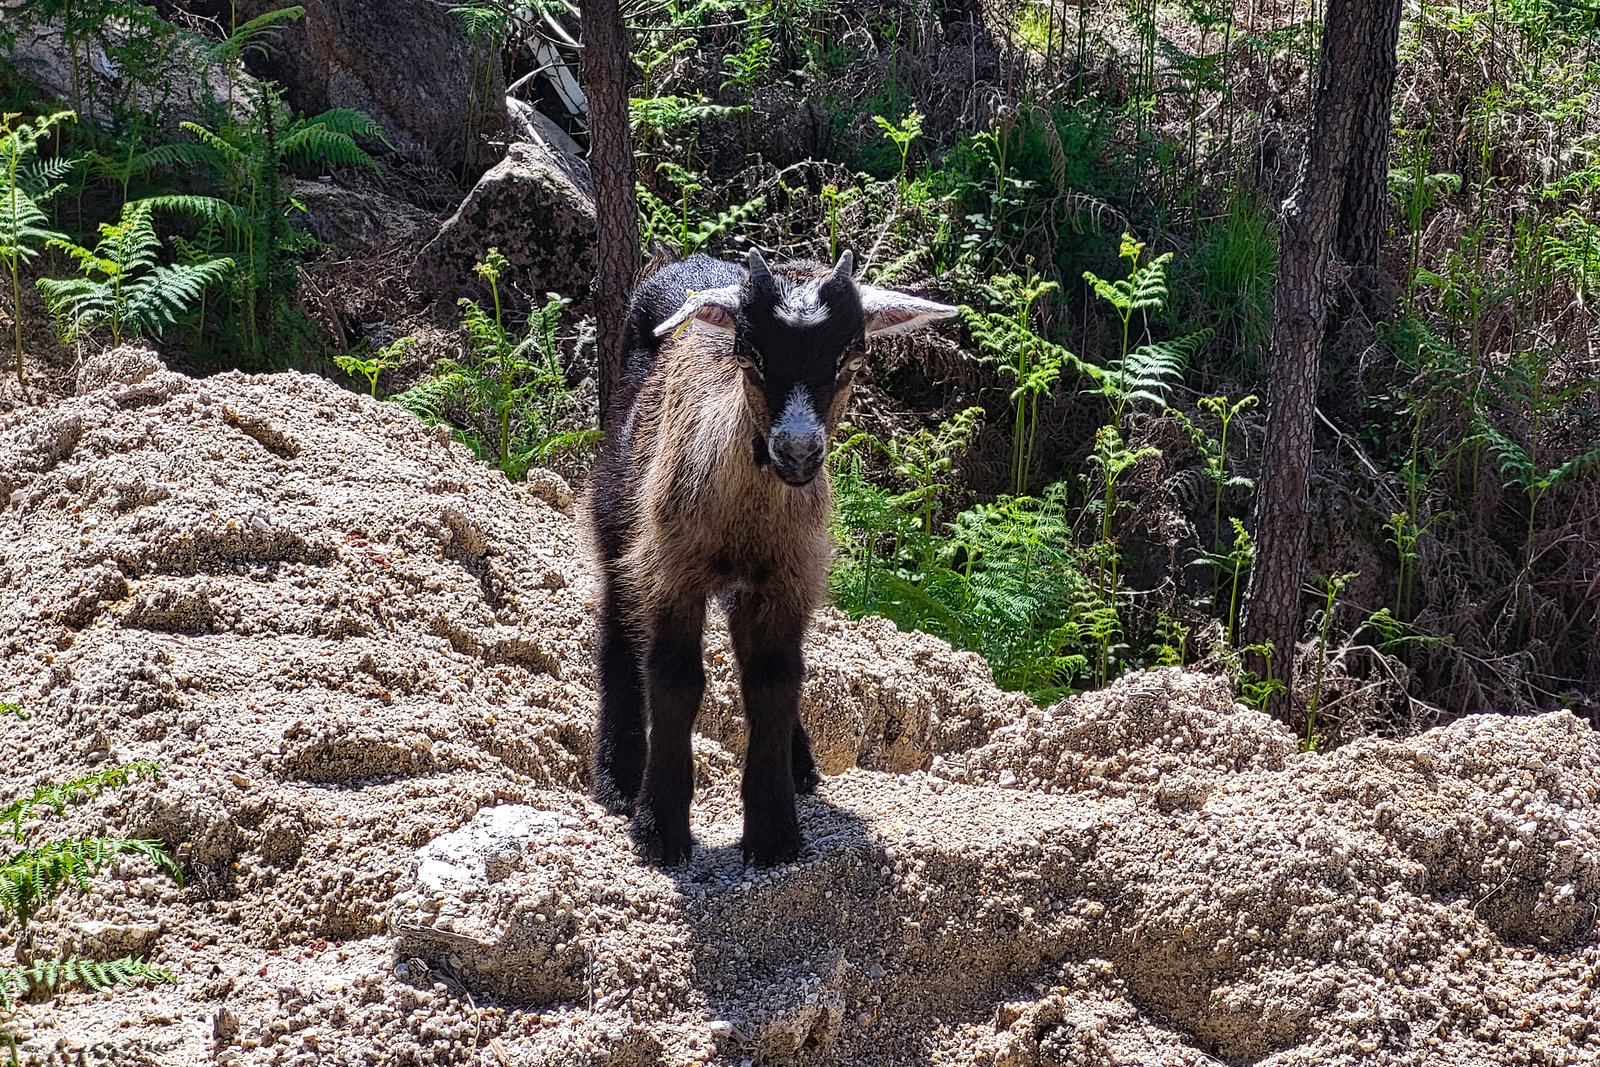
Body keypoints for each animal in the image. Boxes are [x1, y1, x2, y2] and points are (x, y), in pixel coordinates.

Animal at [595, 251, 953, 870]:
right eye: (750, 352)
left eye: (851, 356)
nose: (797, 451)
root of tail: (695, 263)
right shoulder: (671, 565)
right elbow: (674, 679)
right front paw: (658, 831)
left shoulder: (790, 577)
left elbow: (774, 683)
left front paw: (774, 834)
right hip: (620, 507)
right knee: (619, 625)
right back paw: (618, 778)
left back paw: (800, 764)